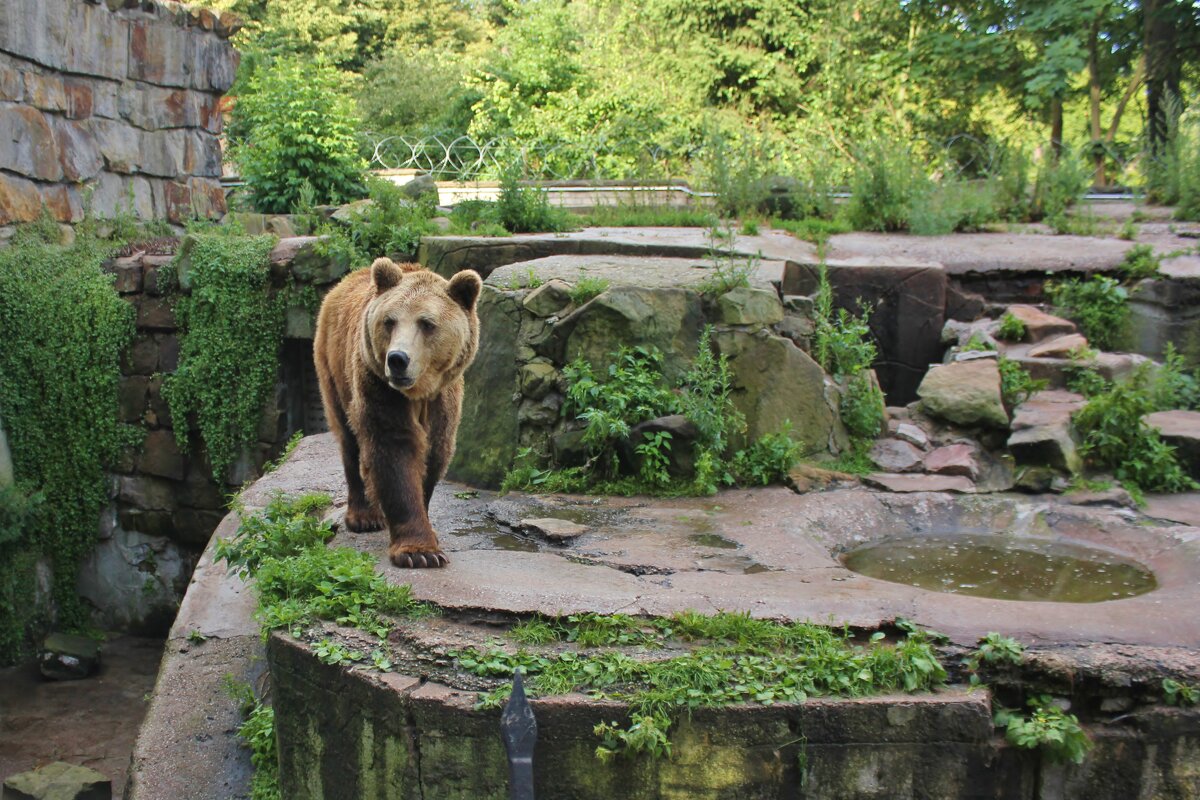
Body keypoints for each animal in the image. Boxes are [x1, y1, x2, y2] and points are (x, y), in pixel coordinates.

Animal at [314, 257, 482, 568]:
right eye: (389, 321)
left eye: (427, 323)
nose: (397, 359)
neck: (417, 393)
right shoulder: (378, 386)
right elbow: (394, 450)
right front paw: (420, 552)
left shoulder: (443, 399)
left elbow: (433, 452)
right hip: (334, 368)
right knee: (349, 439)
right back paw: (364, 516)